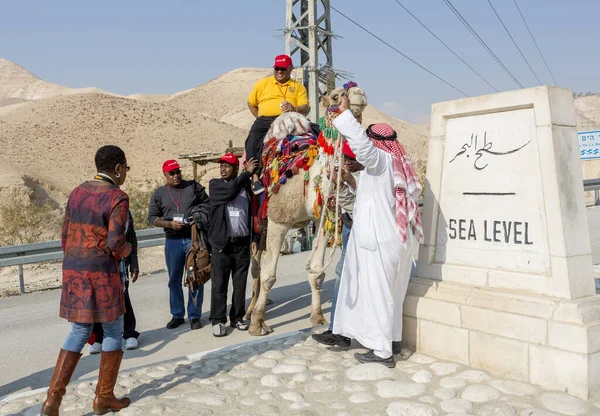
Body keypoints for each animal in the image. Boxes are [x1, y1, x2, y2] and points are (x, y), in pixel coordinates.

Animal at [243, 86, 366, 336]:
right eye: (337, 95)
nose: (359, 94)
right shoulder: (278, 220)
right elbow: (269, 275)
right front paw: (258, 324)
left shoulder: (322, 219)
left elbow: (317, 273)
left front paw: (317, 317)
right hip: (258, 222)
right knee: (257, 267)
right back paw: (250, 311)